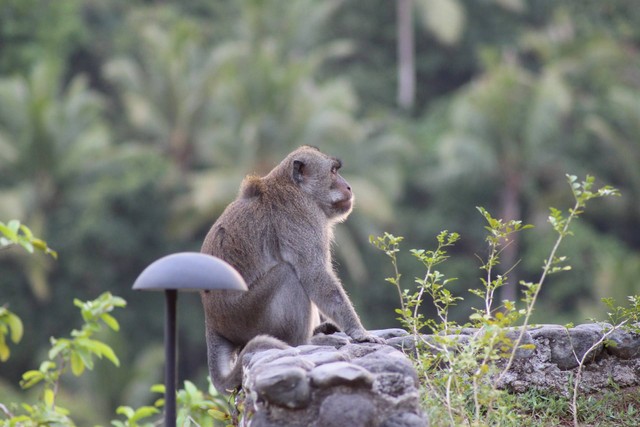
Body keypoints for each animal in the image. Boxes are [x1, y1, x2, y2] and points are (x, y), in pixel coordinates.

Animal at [199, 146, 384, 394]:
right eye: (333, 171)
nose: (348, 187)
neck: (292, 186)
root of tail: (213, 322)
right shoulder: (303, 216)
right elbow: (314, 274)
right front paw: (360, 332)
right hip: (246, 316)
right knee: (288, 275)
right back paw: (304, 342)